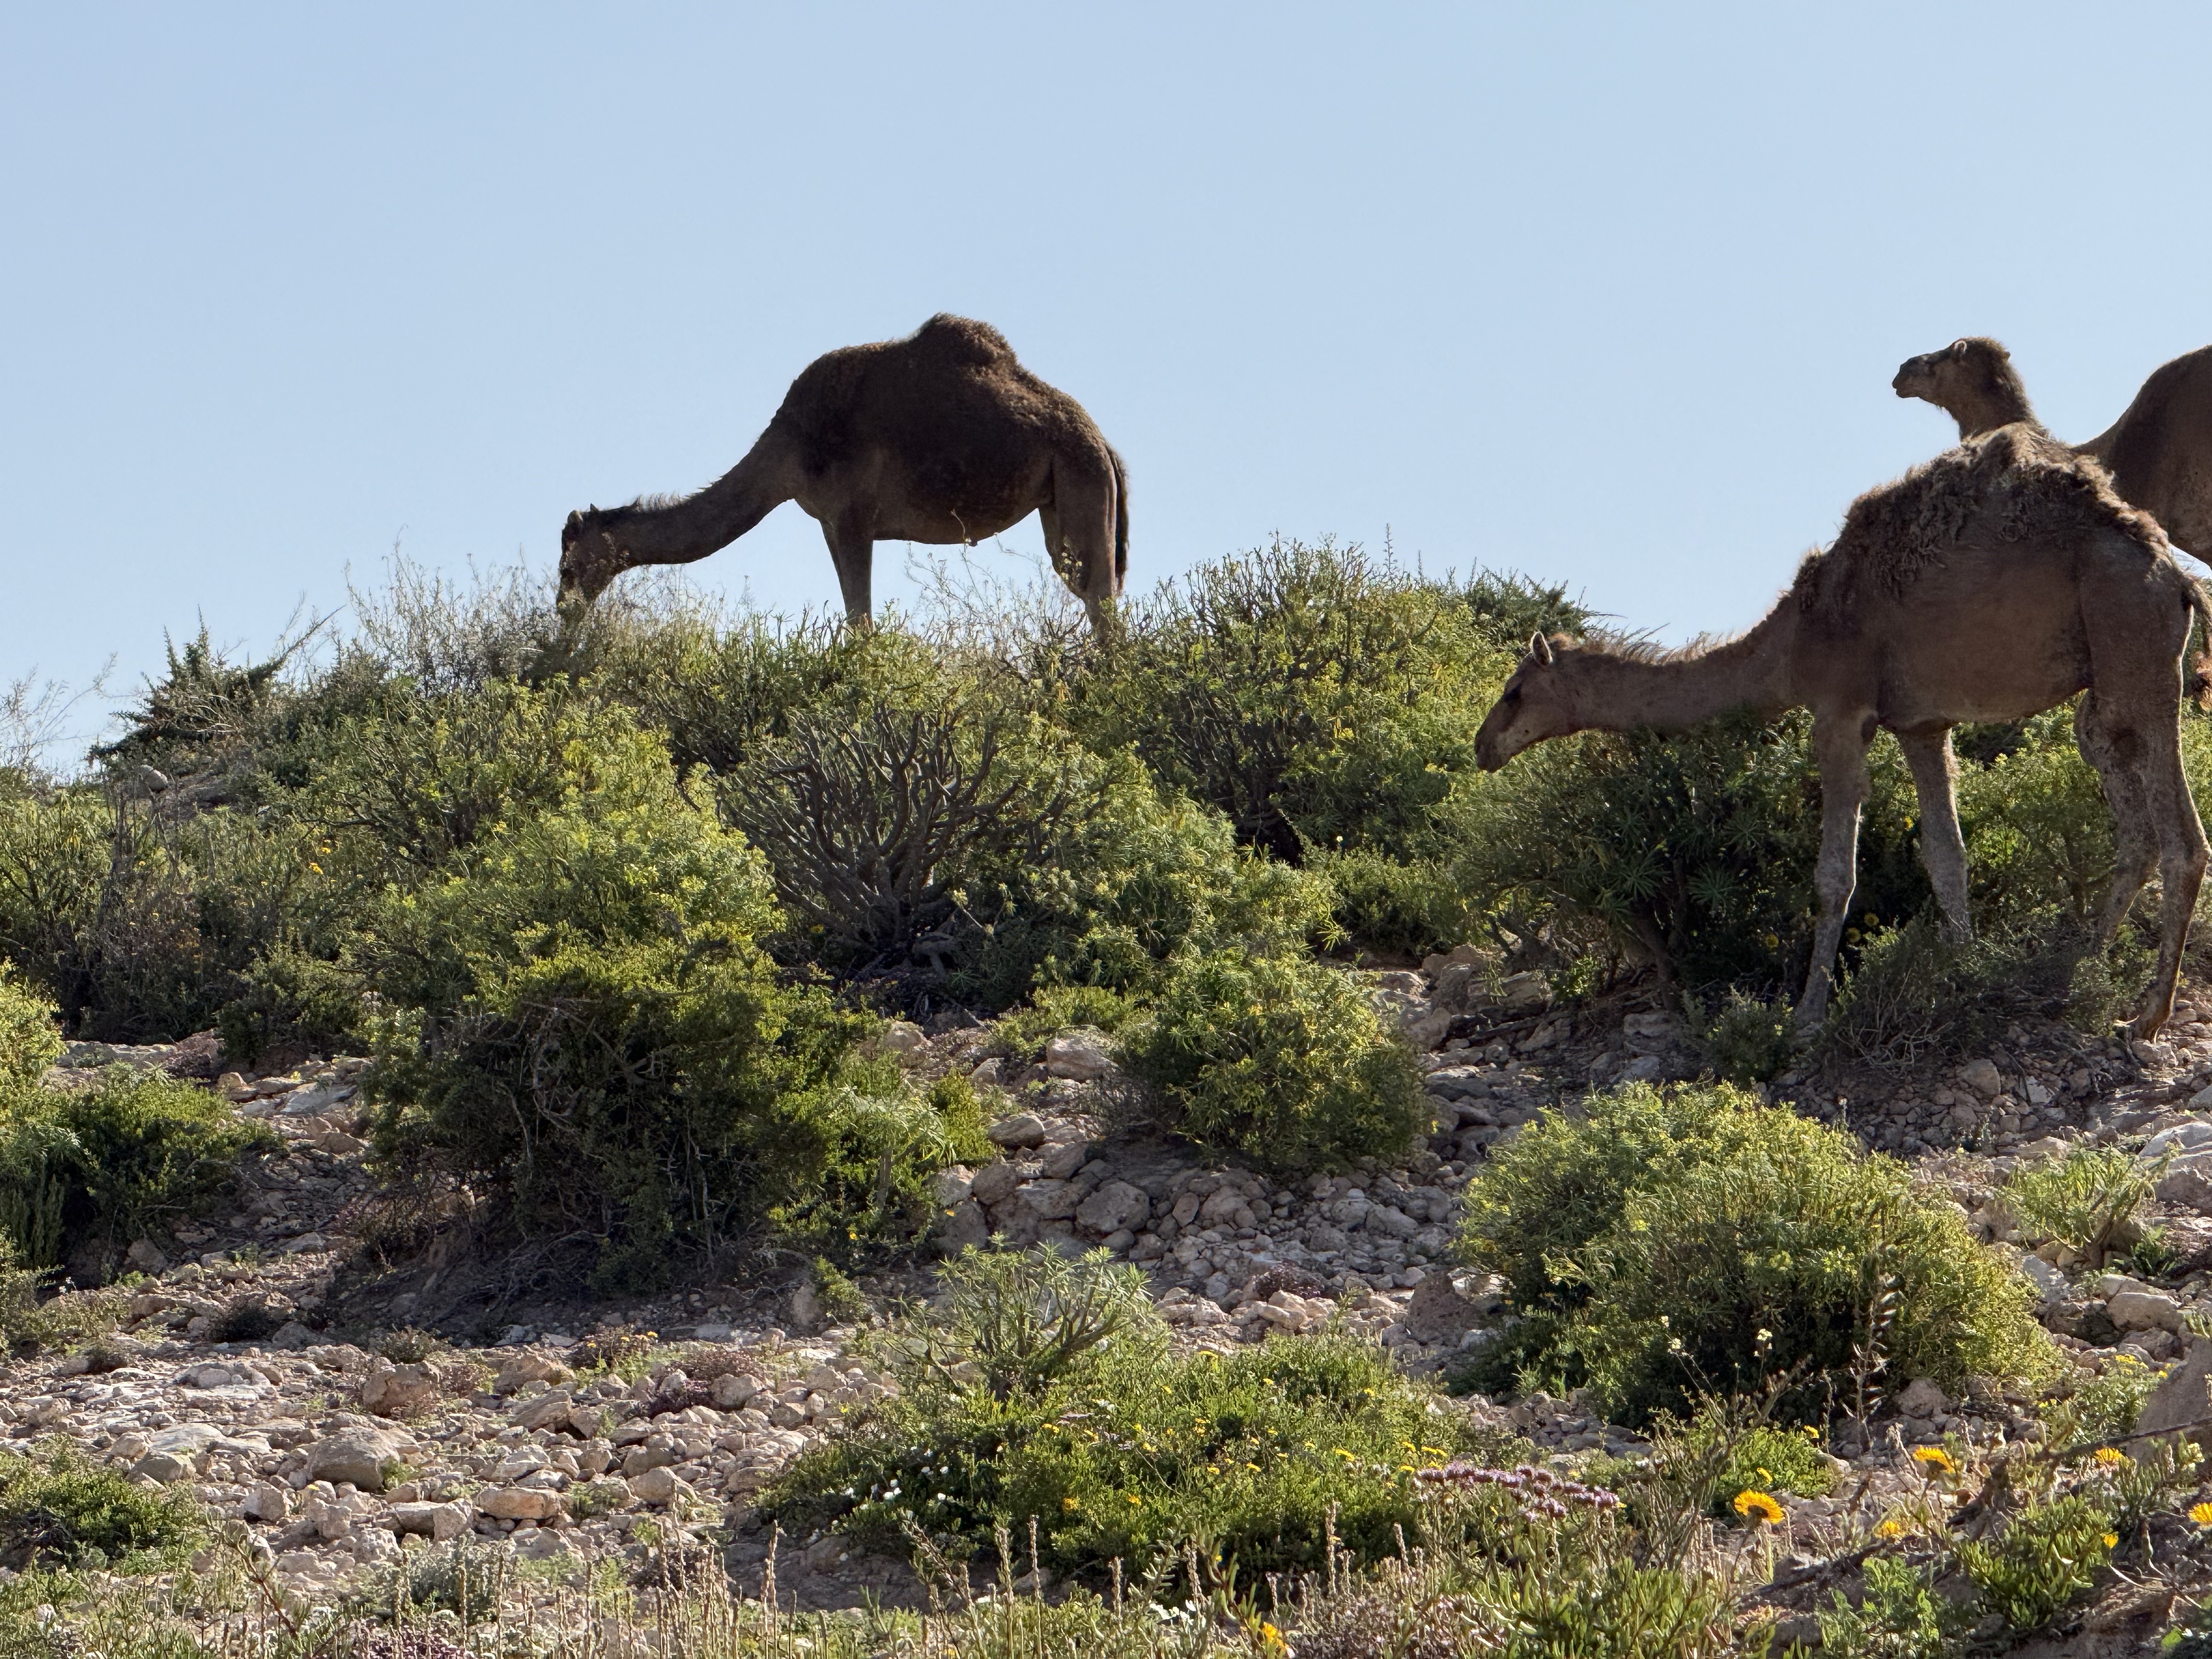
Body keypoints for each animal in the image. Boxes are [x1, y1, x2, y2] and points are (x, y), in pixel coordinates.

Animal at [559, 315, 1129, 634]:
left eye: (567, 568)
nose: (564, 613)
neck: (793, 445)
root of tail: (1106, 444)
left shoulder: (853, 517)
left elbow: (861, 622)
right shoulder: (832, 523)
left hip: (1081, 476)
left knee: (1101, 599)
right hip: (1061, 496)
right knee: (1089, 588)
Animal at [1474, 424, 2212, 1039]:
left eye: (1515, 692)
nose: (1483, 747)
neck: (1793, 641)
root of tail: (2177, 580)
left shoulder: (1838, 709)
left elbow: (1834, 876)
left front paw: (1806, 1017)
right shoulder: (1922, 721)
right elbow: (1947, 857)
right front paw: (1965, 975)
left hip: (2133, 639)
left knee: (2182, 838)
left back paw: (2145, 1015)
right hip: (2110, 674)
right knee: (2129, 815)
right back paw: (2079, 970)